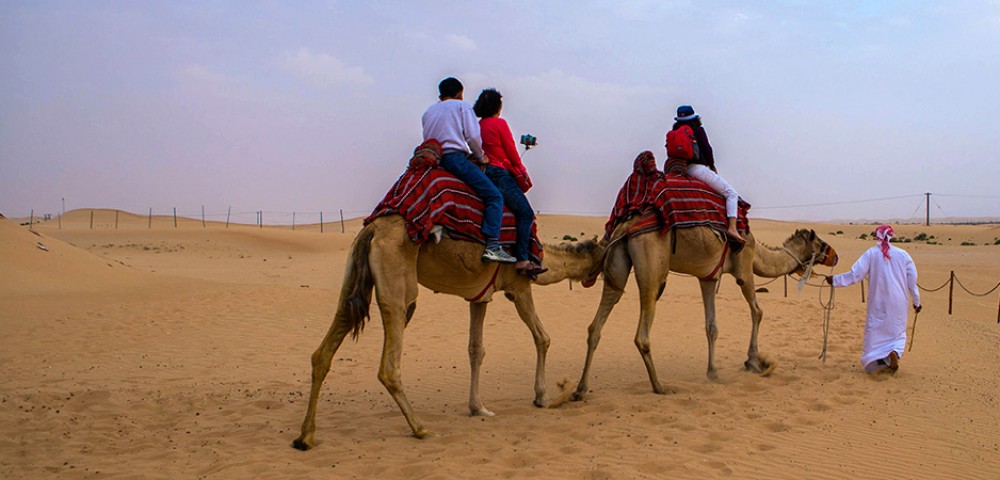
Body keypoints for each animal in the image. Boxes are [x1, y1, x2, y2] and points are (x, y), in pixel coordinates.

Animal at [290, 216, 600, 452]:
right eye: (602, 255)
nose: (596, 278)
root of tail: (372, 230)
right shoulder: (518, 287)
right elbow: (542, 337)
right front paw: (542, 397)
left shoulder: (480, 297)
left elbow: (476, 349)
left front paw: (478, 408)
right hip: (400, 289)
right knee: (389, 365)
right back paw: (421, 429)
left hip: (354, 278)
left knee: (324, 350)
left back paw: (305, 437)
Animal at [572, 215, 836, 402]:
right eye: (821, 242)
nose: (836, 256)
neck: (759, 252)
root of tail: (623, 229)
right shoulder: (745, 270)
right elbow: (758, 311)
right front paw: (754, 361)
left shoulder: (708, 277)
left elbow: (712, 326)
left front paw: (713, 373)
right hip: (652, 269)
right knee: (642, 335)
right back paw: (660, 387)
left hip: (616, 267)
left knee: (595, 326)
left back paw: (580, 389)